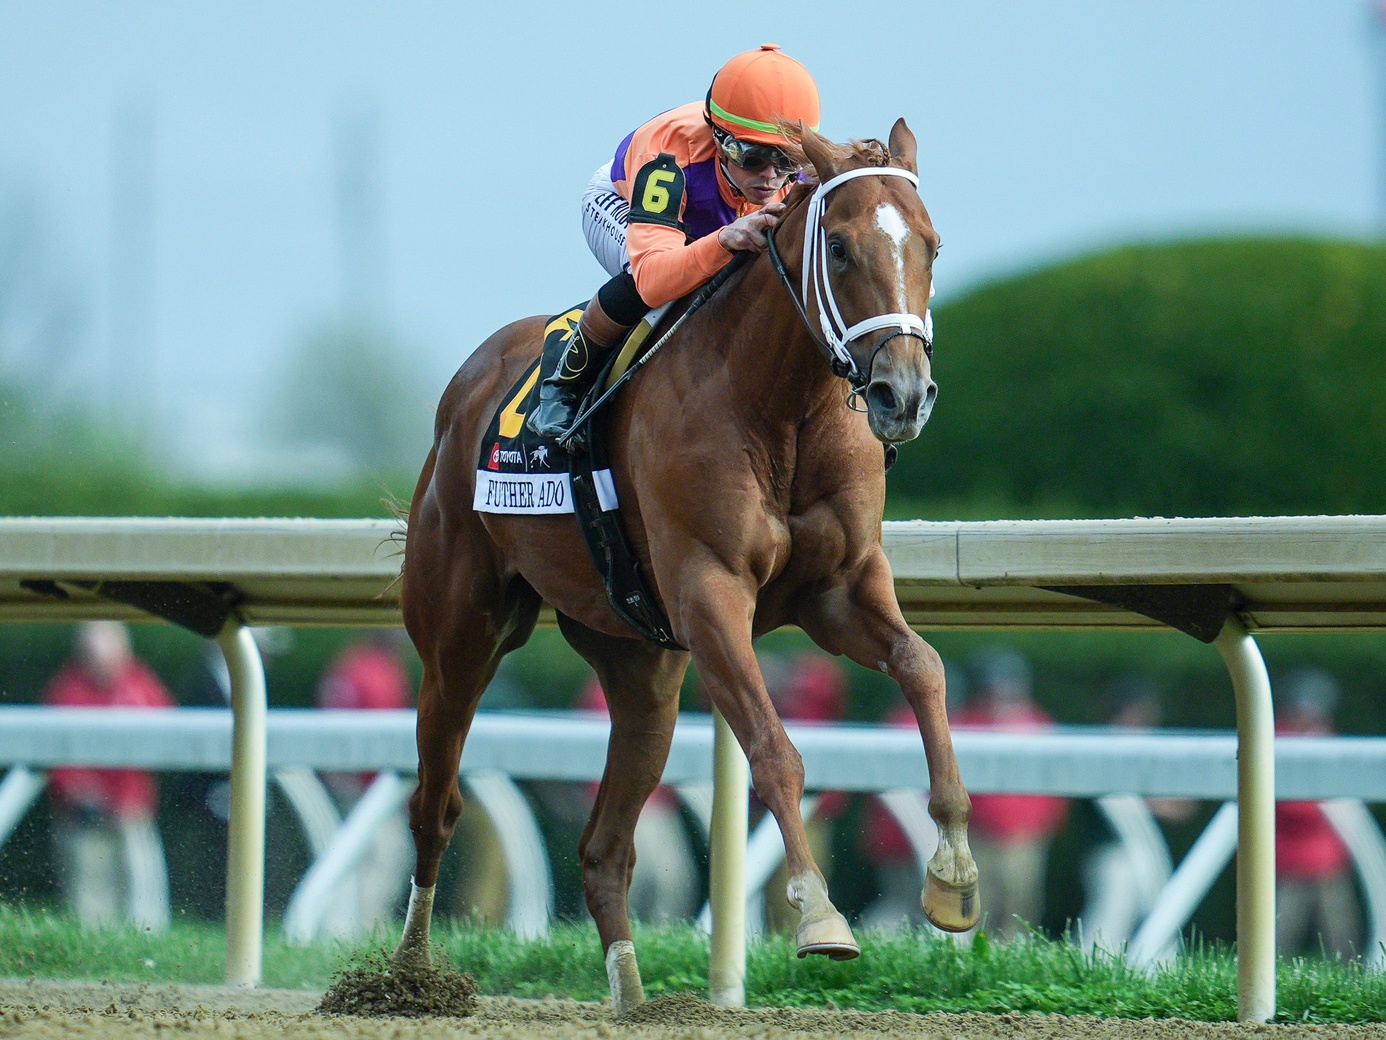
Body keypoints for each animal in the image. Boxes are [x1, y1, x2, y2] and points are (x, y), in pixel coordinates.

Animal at [391, 119, 979, 1015]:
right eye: (840, 248)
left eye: (932, 244)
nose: (903, 394)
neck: (780, 407)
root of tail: (465, 390)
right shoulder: (710, 594)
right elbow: (773, 749)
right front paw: (819, 914)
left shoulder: (839, 590)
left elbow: (924, 667)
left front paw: (952, 876)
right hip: (459, 639)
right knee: (437, 803)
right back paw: (407, 975)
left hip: (642, 671)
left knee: (604, 848)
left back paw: (633, 997)